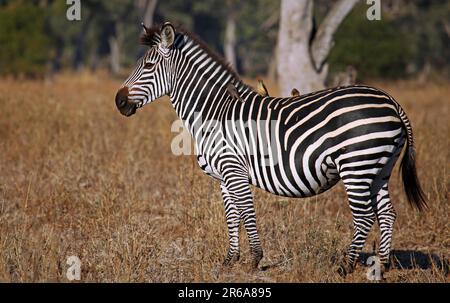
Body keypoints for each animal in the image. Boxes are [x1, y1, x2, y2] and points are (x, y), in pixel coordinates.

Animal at [115, 22, 426, 276]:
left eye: (148, 66)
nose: (119, 102)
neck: (214, 111)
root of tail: (391, 101)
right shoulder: (224, 177)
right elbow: (232, 217)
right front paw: (230, 260)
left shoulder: (235, 170)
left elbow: (246, 212)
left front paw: (254, 260)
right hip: (378, 169)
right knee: (387, 213)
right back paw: (381, 265)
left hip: (357, 166)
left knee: (363, 217)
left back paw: (345, 266)